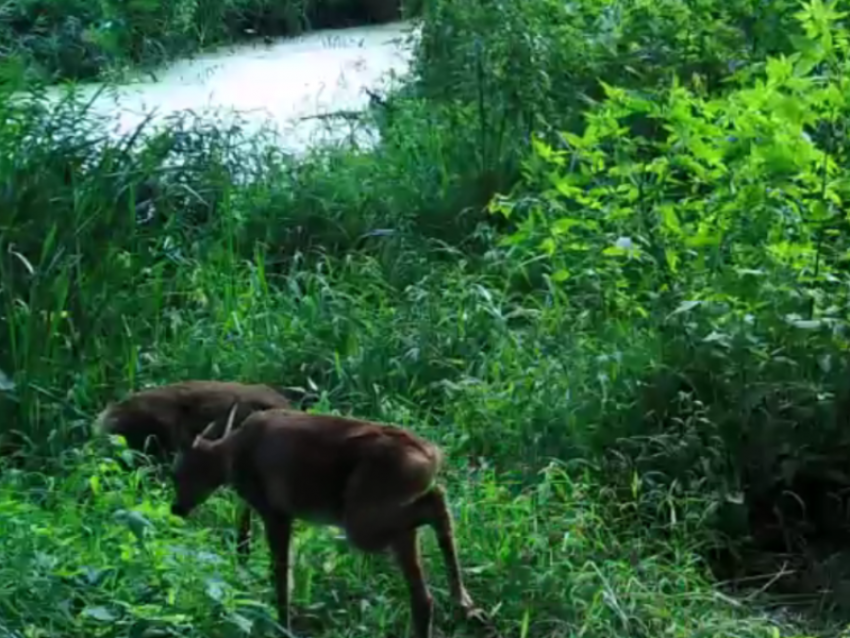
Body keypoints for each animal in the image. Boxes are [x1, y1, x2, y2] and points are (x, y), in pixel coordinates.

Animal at [171, 410, 490, 638]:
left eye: (180, 473)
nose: (176, 508)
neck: (231, 456)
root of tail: (432, 457)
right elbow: (246, 534)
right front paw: (243, 566)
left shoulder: (276, 511)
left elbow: (280, 574)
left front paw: (283, 625)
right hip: (383, 518)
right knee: (424, 590)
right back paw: (465, 605)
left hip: (361, 521)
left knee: (436, 503)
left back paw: (462, 602)